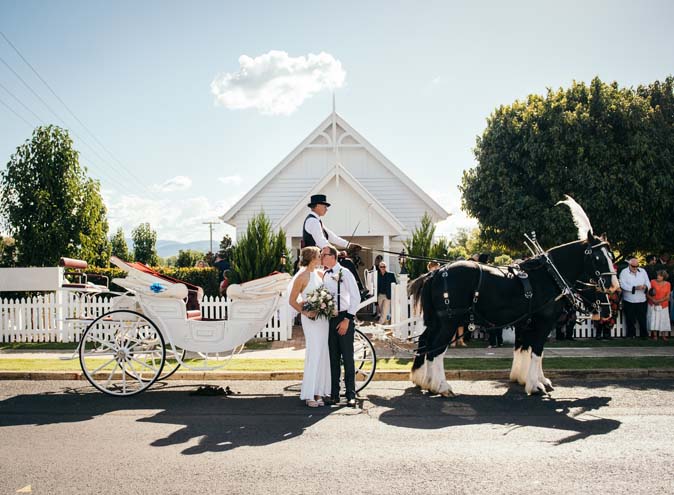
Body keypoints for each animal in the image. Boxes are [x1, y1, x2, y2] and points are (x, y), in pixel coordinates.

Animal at [406, 197, 616, 396]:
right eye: (598, 258)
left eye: (611, 256)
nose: (614, 286)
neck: (550, 275)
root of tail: (436, 272)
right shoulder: (544, 321)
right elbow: (536, 351)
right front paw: (534, 385)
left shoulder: (526, 322)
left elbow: (525, 348)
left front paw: (526, 379)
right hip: (450, 320)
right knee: (436, 348)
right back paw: (440, 386)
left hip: (437, 320)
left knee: (425, 343)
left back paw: (425, 381)